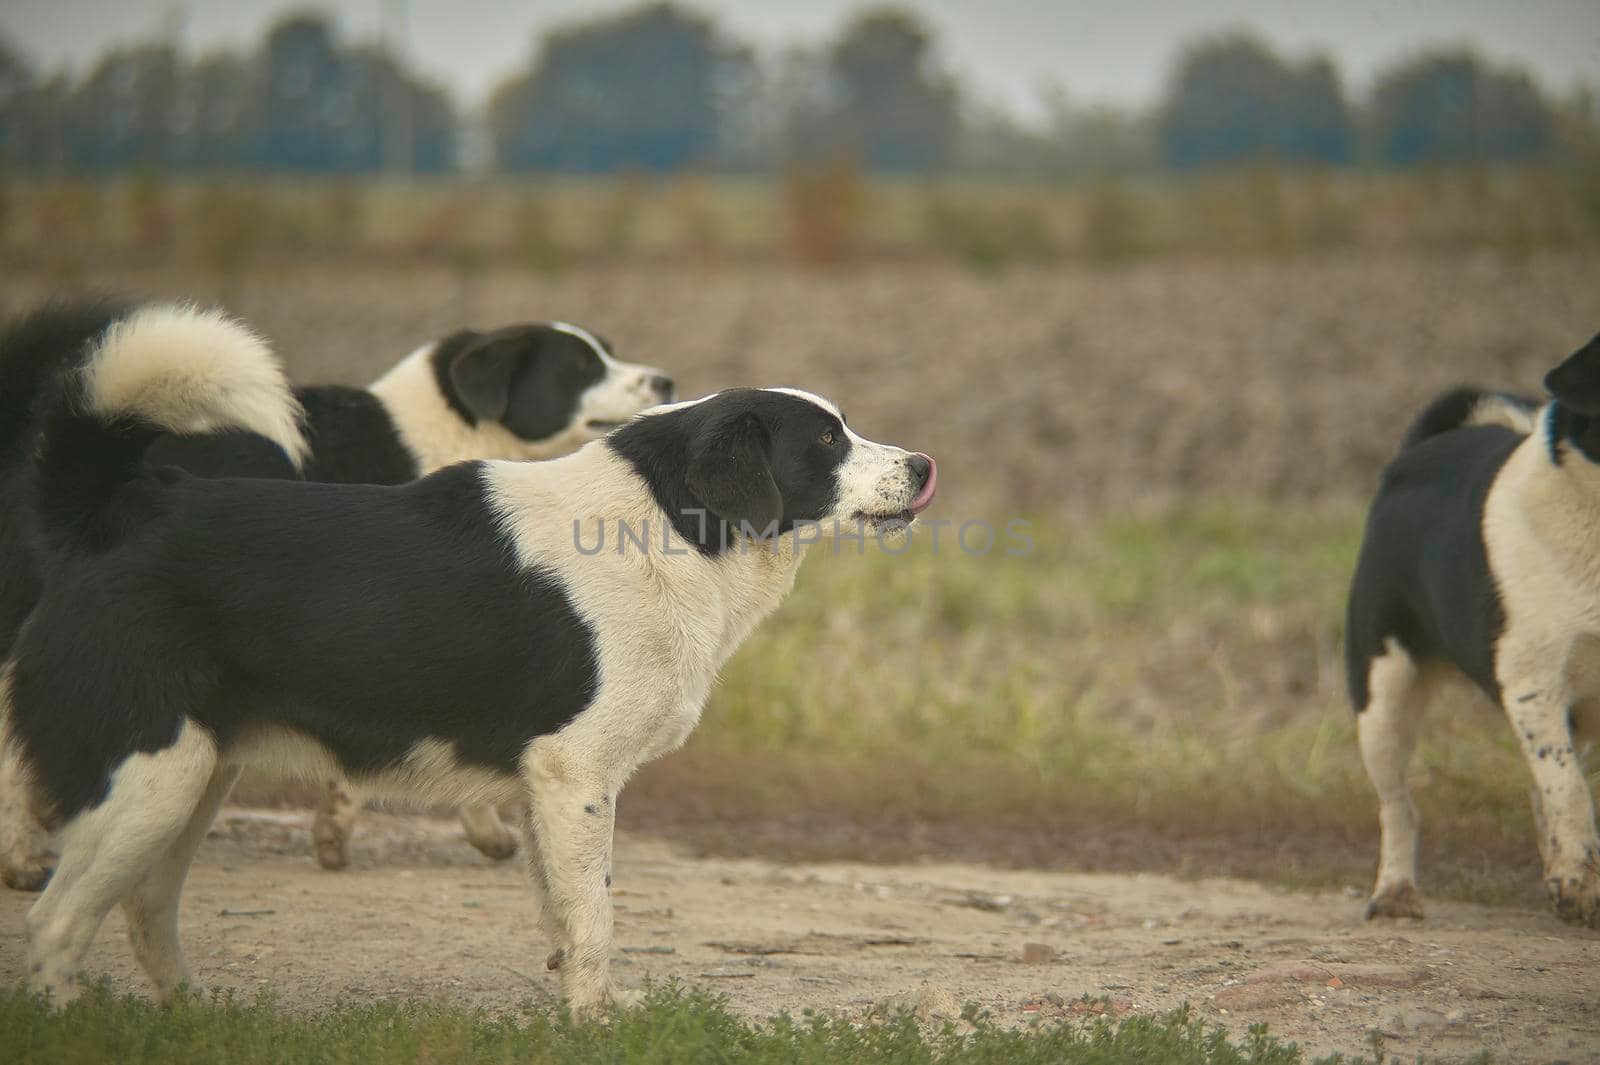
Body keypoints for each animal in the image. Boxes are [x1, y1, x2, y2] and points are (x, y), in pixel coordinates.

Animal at [1350, 334, 1600, 927]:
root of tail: (1416, 452)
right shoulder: (1536, 688)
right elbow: (1571, 793)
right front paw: (1578, 882)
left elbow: (1564, 792)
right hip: (1382, 697)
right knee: (1398, 807)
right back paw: (1395, 892)